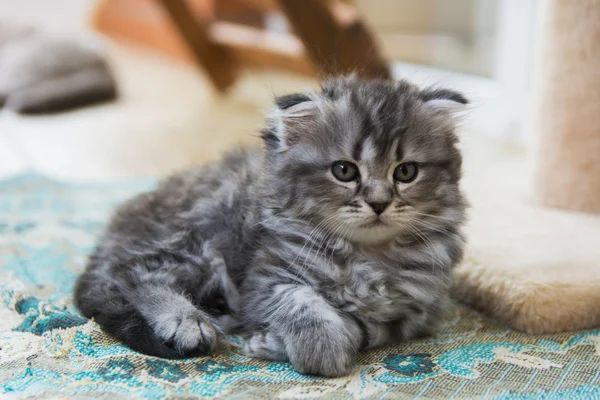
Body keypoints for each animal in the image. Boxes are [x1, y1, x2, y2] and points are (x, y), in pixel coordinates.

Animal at [74, 76, 468, 376]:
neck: (367, 256)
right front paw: (319, 351)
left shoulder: (416, 311)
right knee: (133, 271)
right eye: (344, 171)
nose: (379, 203)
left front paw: (274, 343)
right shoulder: (266, 278)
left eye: (406, 172)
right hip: (197, 237)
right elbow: (303, 306)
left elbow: (363, 330)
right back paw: (186, 320)